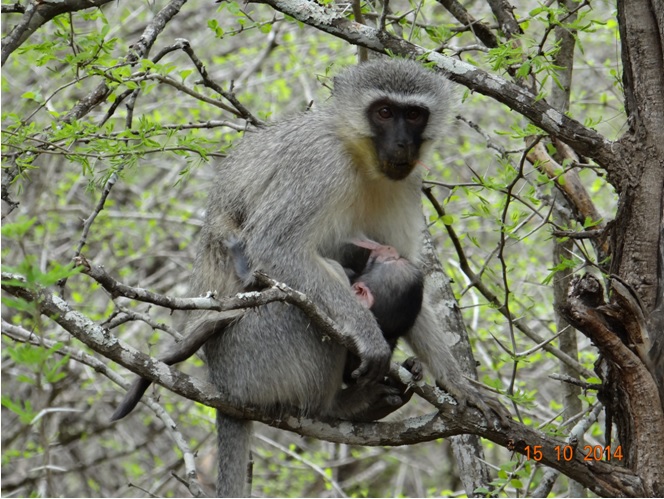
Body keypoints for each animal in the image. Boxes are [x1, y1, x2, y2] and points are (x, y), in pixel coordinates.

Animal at [189, 57, 506, 496]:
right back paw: (340, 405)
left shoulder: (406, 182)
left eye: (414, 114)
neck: (357, 154)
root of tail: (224, 386)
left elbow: (408, 268)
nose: (402, 145)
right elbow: (274, 250)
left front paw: (457, 382)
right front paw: (369, 335)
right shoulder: (319, 165)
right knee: (305, 302)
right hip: (253, 359)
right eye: (384, 112)